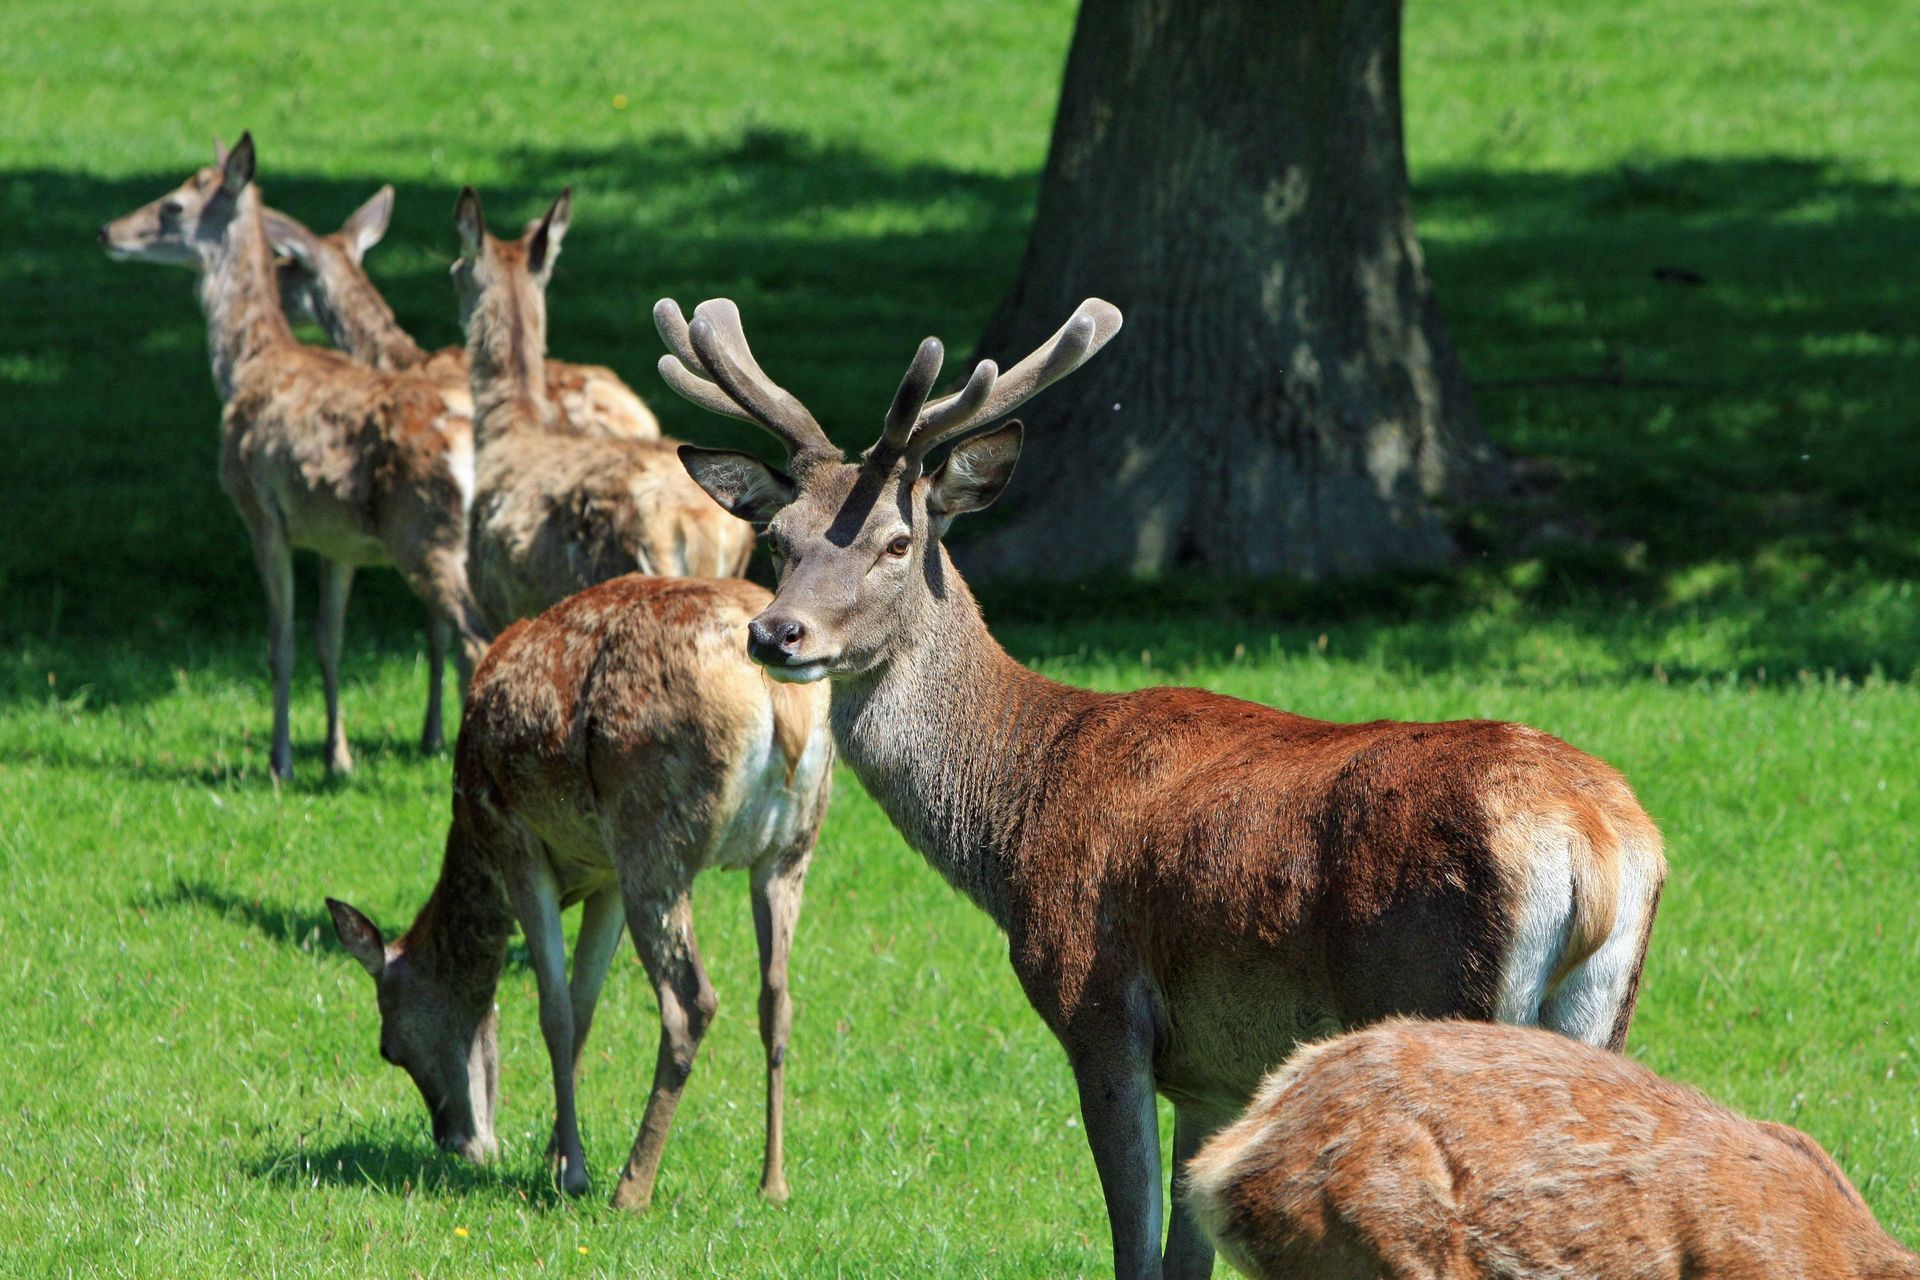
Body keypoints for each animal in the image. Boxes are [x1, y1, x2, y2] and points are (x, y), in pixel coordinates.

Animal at [100, 133, 490, 780]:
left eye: (174, 205)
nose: (108, 231)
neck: (249, 366)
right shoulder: (337, 539)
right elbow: (328, 638)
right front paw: (338, 757)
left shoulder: (260, 515)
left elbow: (279, 643)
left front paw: (280, 759)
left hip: (426, 534)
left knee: (475, 637)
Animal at [326, 573, 833, 1209]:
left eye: (389, 1047)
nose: (455, 1140)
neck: (470, 839)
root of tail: (785, 708)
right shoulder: (606, 877)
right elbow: (586, 1003)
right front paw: (557, 1152)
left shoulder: (517, 842)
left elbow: (557, 1011)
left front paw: (572, 1172)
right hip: (790, 847)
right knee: (777, 997)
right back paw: (773, 1181)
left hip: (653, 837)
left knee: (691, 1002)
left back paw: (632, 1186)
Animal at [654, 296, 1669, 1280]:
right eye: (777, 537)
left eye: (898, 541)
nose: (776, 634)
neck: (1016, 818)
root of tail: (1594, 845)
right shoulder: (1213, 1070)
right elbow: (1186, 1256)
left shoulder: (1100, 1005)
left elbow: (1135, 1249)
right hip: (1599, 1012)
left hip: (1438, 988)